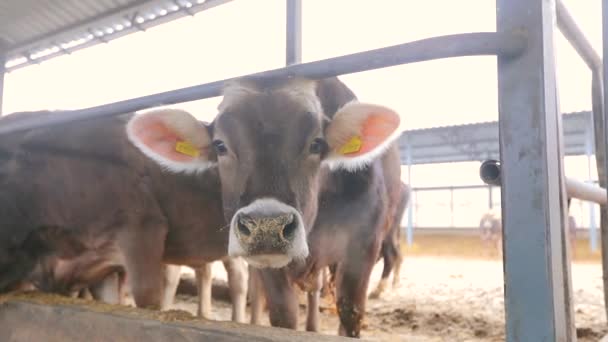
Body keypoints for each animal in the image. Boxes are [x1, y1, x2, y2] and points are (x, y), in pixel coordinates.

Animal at [124, 75, 404, 336]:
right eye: (220, 146)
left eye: (316, 144)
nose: (266, 227)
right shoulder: (270, 268)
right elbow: (283, 315)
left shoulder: (364, 245)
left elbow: (350, 312)